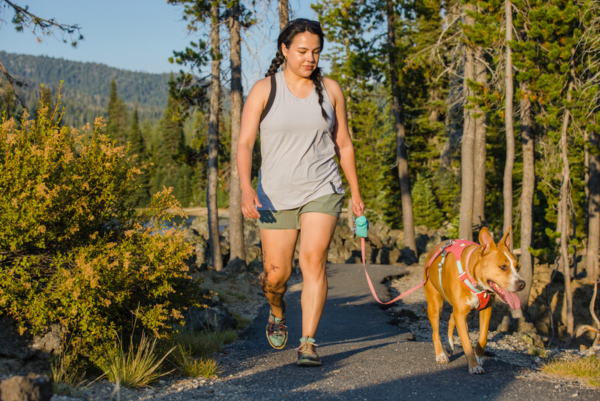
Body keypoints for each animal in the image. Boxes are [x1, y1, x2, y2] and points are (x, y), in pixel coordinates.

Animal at [422, 227, 524, 374]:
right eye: (503, 267)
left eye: (517, 267)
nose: (522, 284)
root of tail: (434, 249)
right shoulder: (461, 314)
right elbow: (466, 342)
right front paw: (473, 365)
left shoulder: (486, 310)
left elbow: (483, 337)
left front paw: (479, 356)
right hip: (435, 305)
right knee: (435, 332)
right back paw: (441, 354)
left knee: (451, 318)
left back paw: (450, 344)